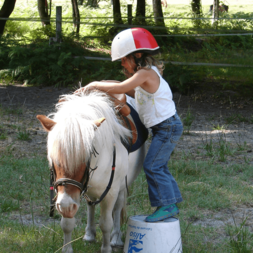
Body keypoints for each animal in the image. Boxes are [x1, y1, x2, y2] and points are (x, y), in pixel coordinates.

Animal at [36, 91, 146, 253]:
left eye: (86, 158)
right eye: (53, 159)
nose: (66, 206)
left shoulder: (110, 193)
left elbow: (106, 223)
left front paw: (106, 248)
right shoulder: (68, 197)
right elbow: (67, 224)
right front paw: (67, 249)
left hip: (121, 187)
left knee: (118, 207)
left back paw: (116, 238)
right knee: (91, 205)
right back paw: (89, 234)